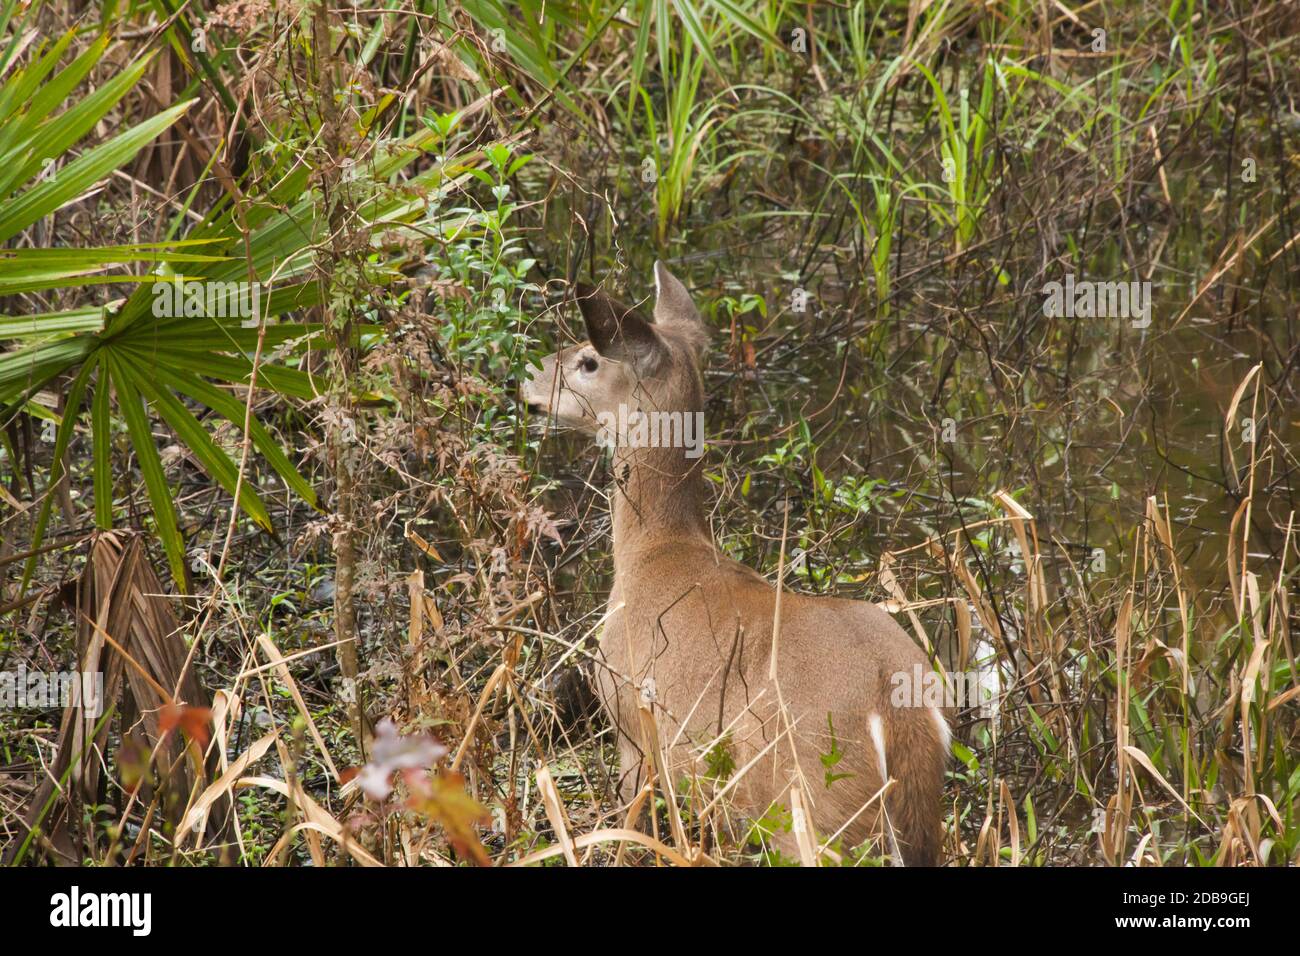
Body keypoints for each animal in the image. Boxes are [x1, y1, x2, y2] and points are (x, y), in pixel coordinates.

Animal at [522, 264, 951, 868]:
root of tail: (898, 707)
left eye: (588, 359)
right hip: (915, 817)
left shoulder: (633, 730)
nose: (528, 384)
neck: (655, 550)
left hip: (814, 807)